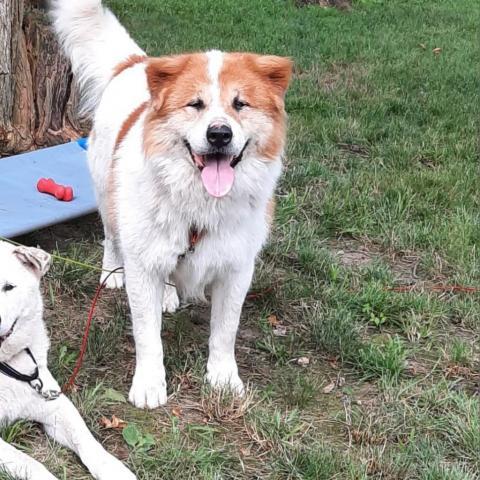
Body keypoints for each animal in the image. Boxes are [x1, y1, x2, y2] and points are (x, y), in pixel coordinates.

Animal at [53, 1, 292, 410]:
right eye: (195, 104)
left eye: (240, 104)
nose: (219, 134)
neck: (199, 204)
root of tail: (136, 62)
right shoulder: (142, 264)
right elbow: (148, 335)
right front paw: (149, 384)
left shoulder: (237, 268)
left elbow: (225, 331)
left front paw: (223, 378)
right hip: (106, 195)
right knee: (110, 237)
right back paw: (111, 272)